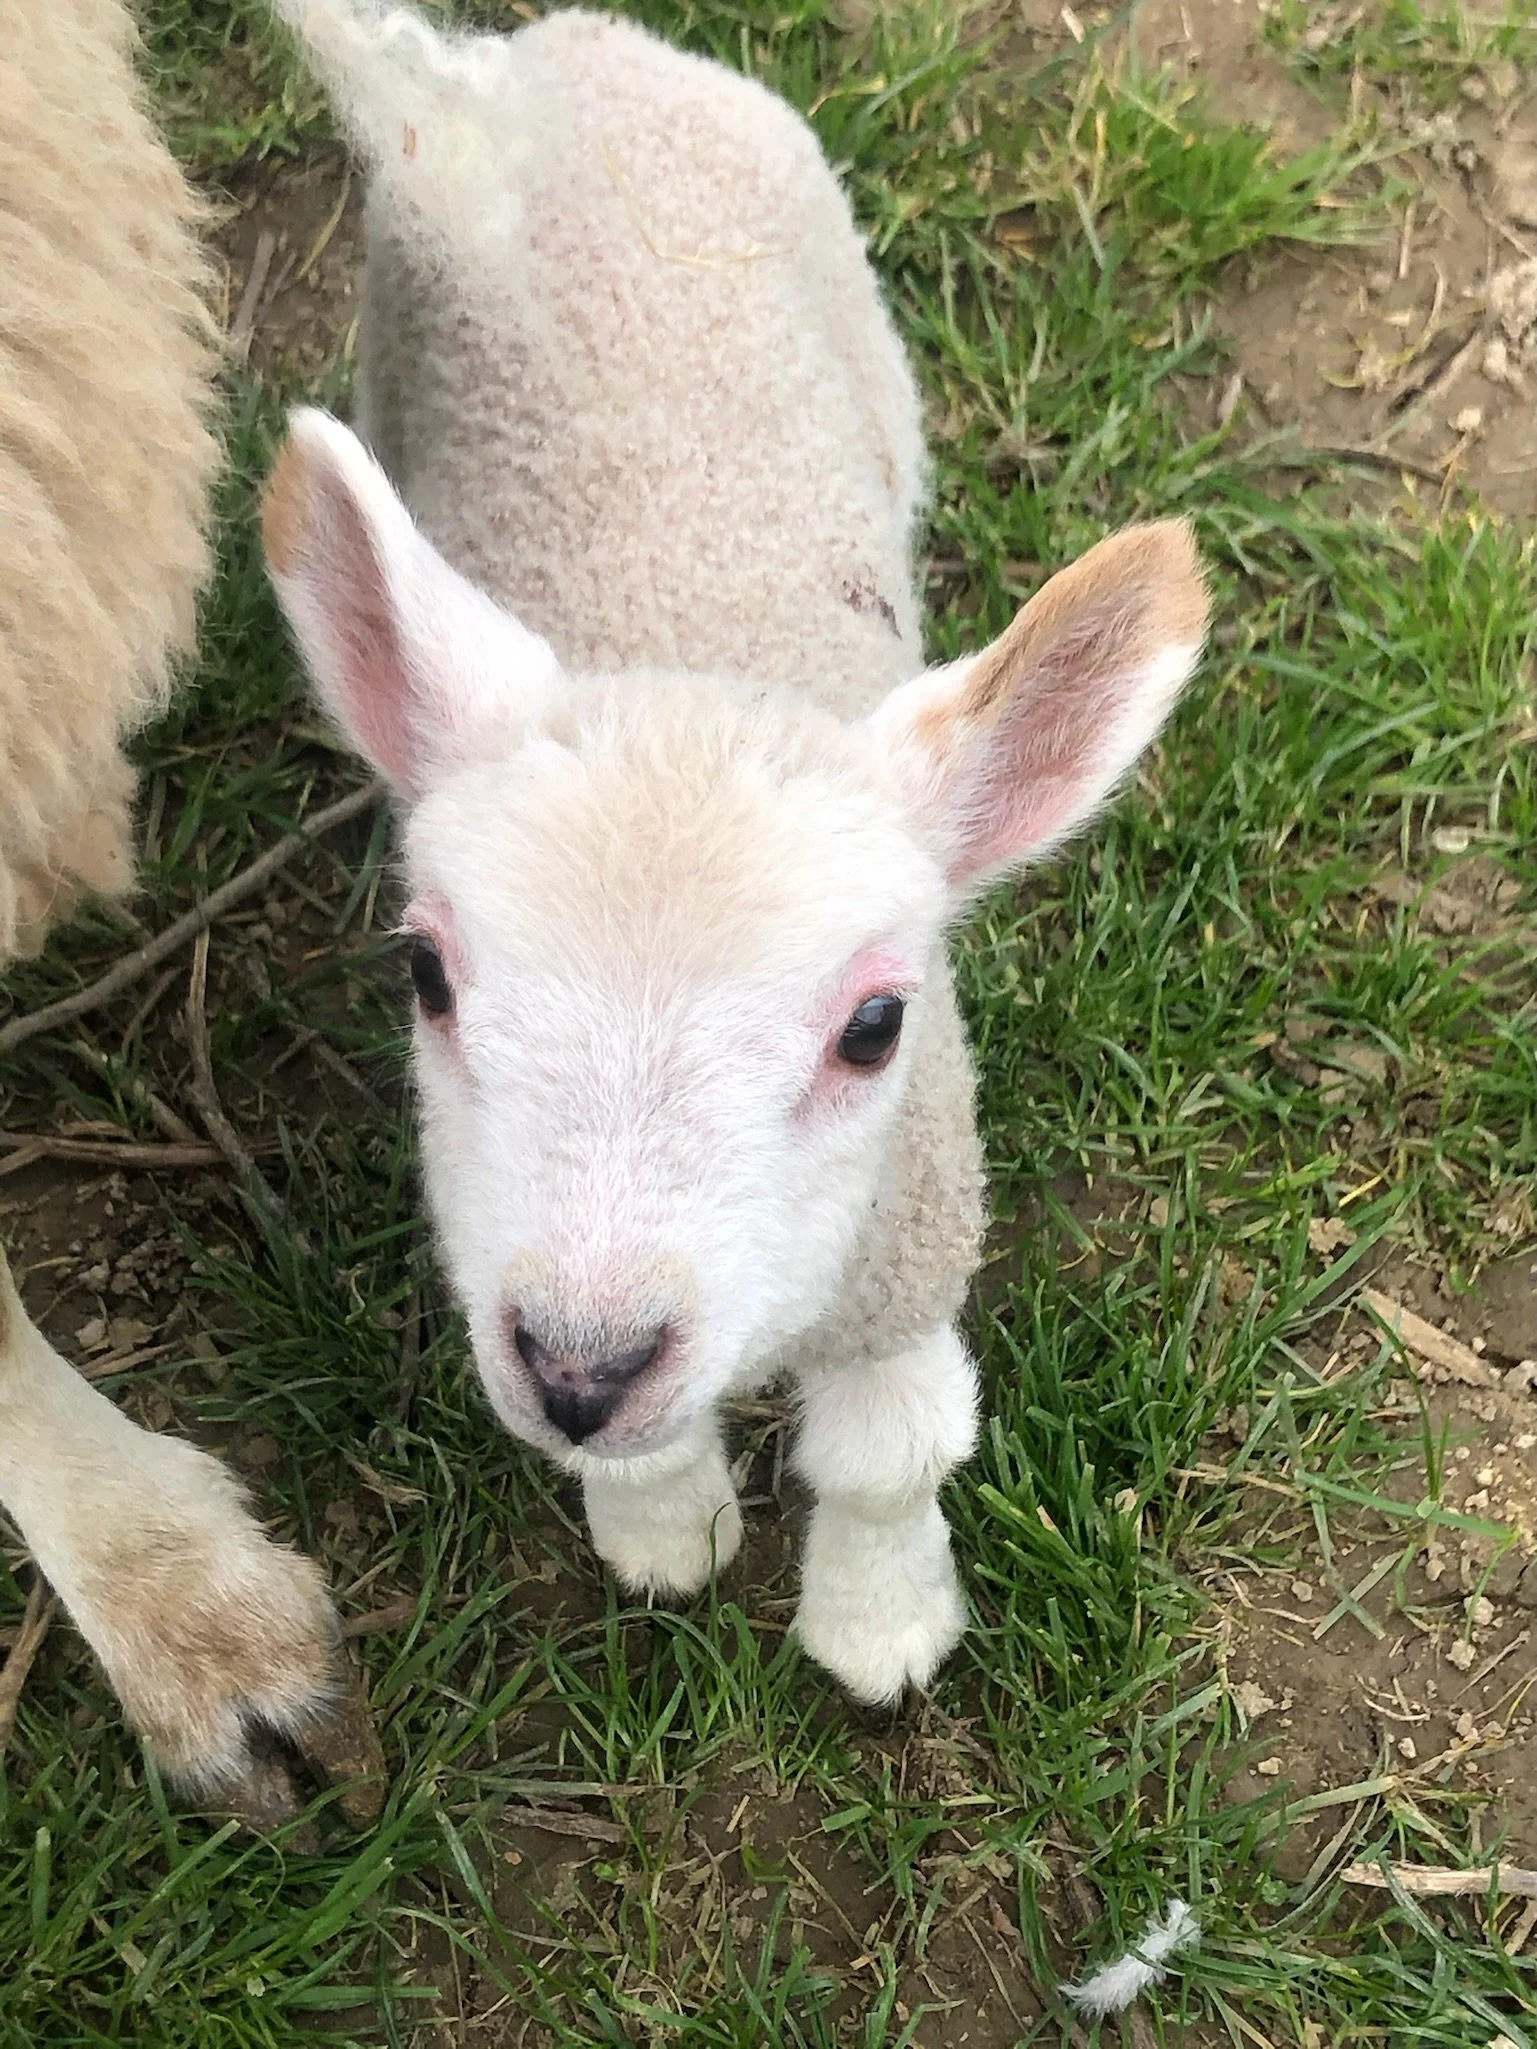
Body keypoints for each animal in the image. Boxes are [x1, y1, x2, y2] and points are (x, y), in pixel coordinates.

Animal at [264, 0, 1210, 1707]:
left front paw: (880, 1624)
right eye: (426, 974)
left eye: (877, 1025)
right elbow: (652, 1464)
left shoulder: (910, 1247)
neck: (689, 648)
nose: (580, 1364)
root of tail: (491, 86)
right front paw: (660, 1527)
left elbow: (891, 1461)